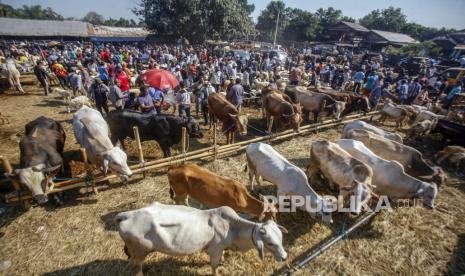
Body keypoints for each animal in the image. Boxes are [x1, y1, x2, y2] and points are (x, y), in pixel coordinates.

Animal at [116, 201, 286, 276]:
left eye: (281, 238)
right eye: (270, 243)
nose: (285, 257)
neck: (232, 228)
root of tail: (127, 214)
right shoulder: (215, 249)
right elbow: (214, 266)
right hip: (140, 252)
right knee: (136, 268)